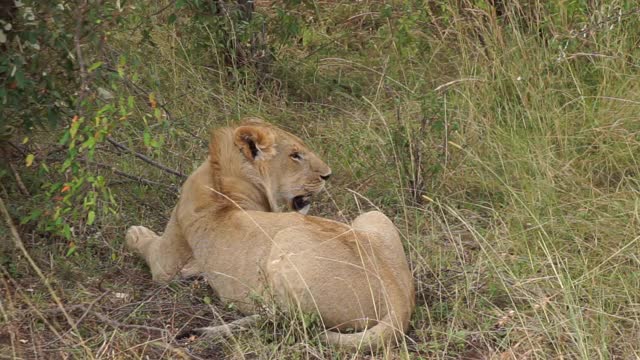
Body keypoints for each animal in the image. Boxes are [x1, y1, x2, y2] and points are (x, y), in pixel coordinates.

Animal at [125, 119, 416, 352]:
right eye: (295, 155)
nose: (328, 175)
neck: (221, 181)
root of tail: (399, 296)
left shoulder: (166, 267)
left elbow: (139, 239)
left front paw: (135, 231)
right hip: (372, 216)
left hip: (283, 245)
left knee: (287, 321)